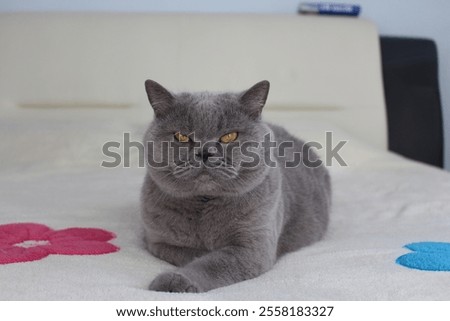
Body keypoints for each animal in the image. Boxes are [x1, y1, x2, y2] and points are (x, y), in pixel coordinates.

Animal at [141, 79, 330, 292]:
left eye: (229, 136)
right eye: (181, 136)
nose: (205, 152)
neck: (205, 203)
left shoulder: (253, 248)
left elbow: (212, 263)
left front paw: (175, 281)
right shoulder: (159, 242)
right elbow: (195, 254)